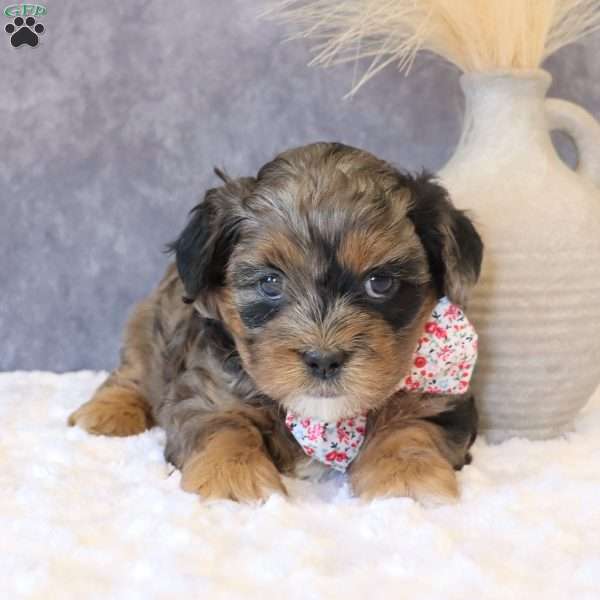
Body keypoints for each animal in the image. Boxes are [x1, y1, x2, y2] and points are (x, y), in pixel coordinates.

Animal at [69, 143, 482, 504]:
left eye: (380, 283)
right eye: (270, 282)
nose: (324, 360)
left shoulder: (435, 395)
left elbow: (412, 427)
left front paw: (406, 478)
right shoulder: (208, 389)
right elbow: (223, 426)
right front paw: (231, 478)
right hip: (151, 321)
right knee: (132, 373)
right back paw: (106, 414)